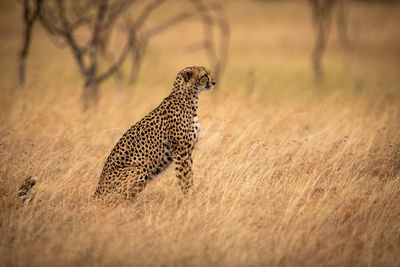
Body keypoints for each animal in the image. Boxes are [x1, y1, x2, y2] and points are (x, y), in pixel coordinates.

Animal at [93, 66, 216, 202]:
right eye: (205, 75)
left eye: (209, 74)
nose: (214, 82)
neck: (189, 99)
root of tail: (96, 193)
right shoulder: (180, 153)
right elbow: (185, 179)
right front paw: (188, 199)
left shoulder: (187, 153)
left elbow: (190, 177)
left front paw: (192, 197)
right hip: (140, 168)